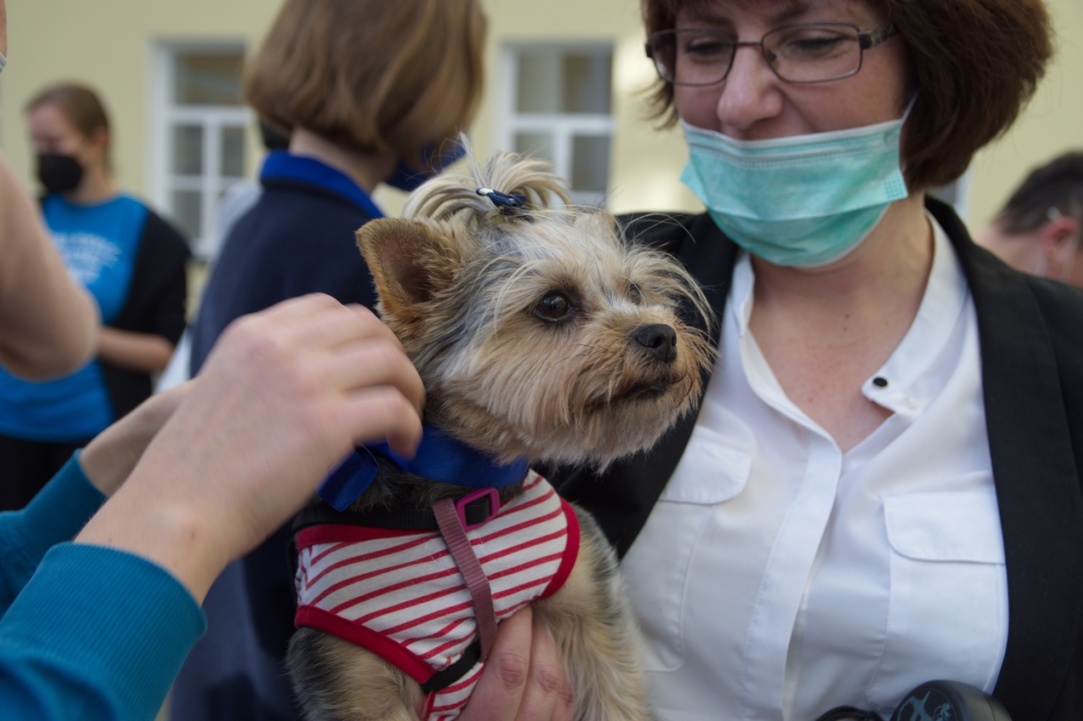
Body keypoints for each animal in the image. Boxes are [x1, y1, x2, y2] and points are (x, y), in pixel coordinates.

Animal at [283, 148, 714, 714]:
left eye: (635, 290)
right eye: (553, 304)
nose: (661, 334)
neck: (463, 499)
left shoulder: (592, 603)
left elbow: (615, 694)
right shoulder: (351, 676)